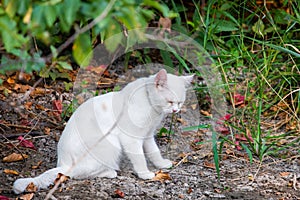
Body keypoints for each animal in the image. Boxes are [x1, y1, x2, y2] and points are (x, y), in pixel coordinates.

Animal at [12, 69, 193, 194]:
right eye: (170, 101)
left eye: (180, 102)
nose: (176, 110)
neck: (151, 107)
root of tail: (63, 163)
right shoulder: (131, 138)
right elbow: (139, 157)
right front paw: (144, 173)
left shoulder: (147, 135)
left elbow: (154, 152)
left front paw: (161, 164)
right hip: (110, 142)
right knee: (80, 173)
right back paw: (110, 172)